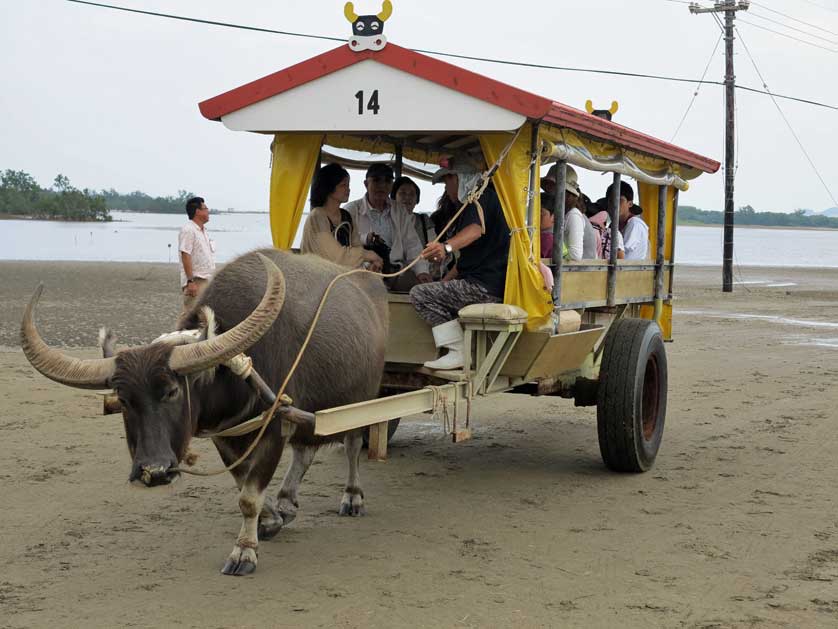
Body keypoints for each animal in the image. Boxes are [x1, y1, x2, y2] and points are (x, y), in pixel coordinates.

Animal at [22, 249, 390, 576]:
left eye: (172, 391)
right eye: (124, 400)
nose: (154, 472)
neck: (234, 375)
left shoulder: (272, 428)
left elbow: (249, 497)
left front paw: (244, 552)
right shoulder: (225, 435)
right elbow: (243, 485)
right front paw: (272, 518)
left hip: (362, 401)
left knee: (352, 446)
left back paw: (352, 498)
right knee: (304, 450)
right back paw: (287, 501)